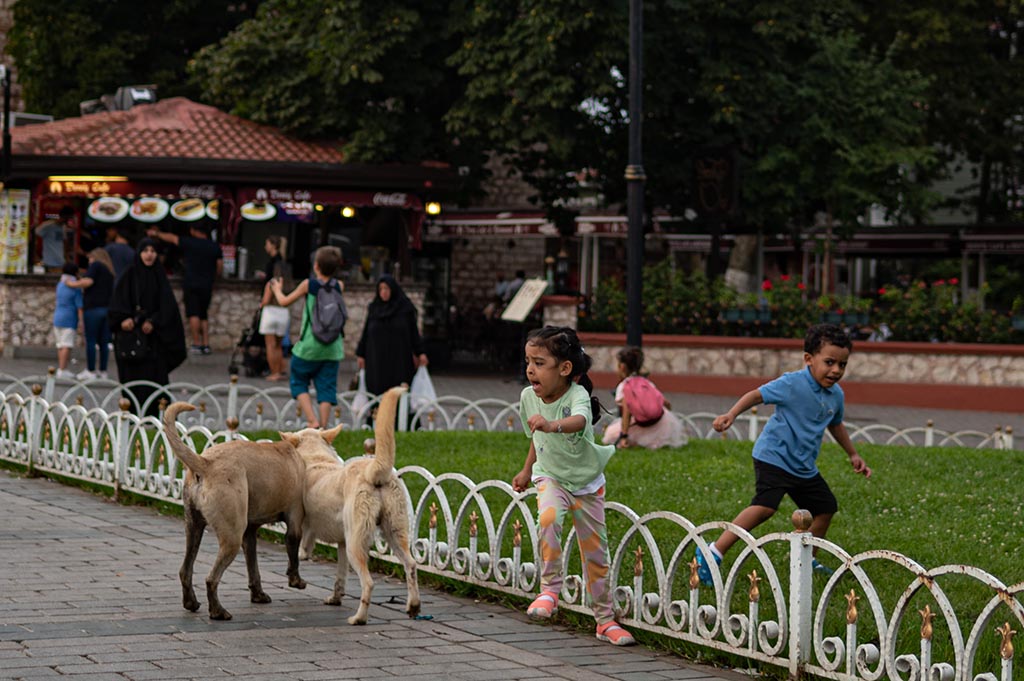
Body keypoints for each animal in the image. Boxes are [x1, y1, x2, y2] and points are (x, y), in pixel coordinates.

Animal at [161, 401, 307, 618]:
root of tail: (205, 463)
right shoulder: (294, 521)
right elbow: (293, 556)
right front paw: (296, 581)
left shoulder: (250, 533)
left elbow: (253, 568)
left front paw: (258, 595)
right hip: (231, 538)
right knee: (211, 578)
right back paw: (218, 611)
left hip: (194, 527)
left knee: (185, 570)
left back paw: (191, 602)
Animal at [284, 385, 419, 622]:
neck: (316, 460)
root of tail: (372, 471)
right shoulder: (341, 543)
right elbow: (340, 576)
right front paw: (335, 598)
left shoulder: (304, 531)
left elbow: (299, 554)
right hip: (394, 533)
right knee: (411, 565)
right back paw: (413, 606)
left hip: (357, 543)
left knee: (369, 582)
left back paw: (359, 619)